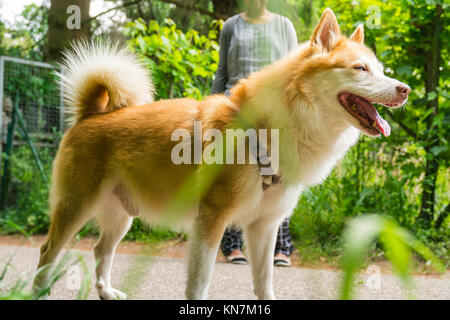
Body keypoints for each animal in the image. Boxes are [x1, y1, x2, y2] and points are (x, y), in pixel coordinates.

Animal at [33, 10, 410, 300]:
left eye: (379, 70)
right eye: (360, 69)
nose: (405, 89)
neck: (269, 128)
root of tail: (91, 114)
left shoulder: (264, 227)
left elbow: (264, 283)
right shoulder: (211, 219)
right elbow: (199, 283)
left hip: (121, 214)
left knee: (101, 250)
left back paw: (107, 292)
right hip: (76, 206)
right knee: (48, 251)